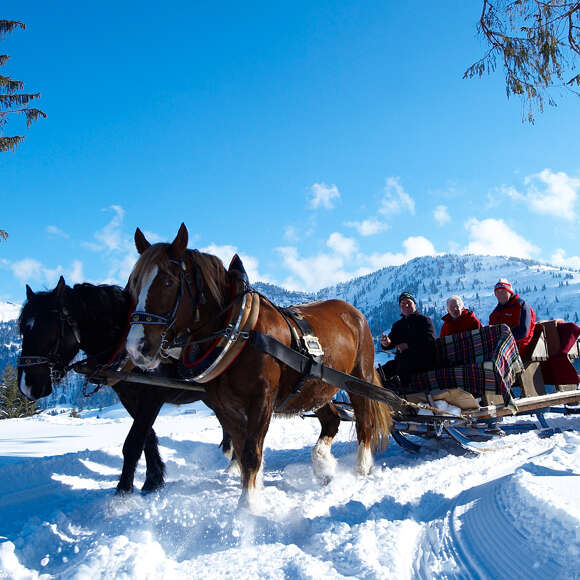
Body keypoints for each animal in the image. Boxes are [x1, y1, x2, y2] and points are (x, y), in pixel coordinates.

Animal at [17, 276, 233, 494]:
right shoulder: (127, 396)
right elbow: (147, 438)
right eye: (22, 330)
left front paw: (123, 490)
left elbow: (134, 441)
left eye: (49, 330)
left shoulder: (153, 394)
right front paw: (153, 480)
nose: (27, 385)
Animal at [124, 224, 392, 506]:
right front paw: (253, 492)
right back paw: (323, 465)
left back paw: (360, 468)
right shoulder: (224, 407)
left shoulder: (262, 400)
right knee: (332, 419)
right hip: (316, 387)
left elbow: (252, 452)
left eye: (168, 282)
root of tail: (352, 311)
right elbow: (242, 453)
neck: (238, 330)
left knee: (364, 420)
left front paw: (248, 506)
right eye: (134, 284)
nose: (136, 347)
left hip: (359, 377)